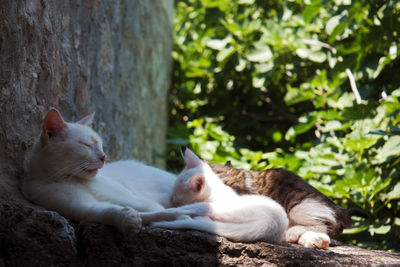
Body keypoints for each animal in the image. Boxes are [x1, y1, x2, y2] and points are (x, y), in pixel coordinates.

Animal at [148, 148, 290, 244]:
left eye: (176, 199)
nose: (171, 200)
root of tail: (268, 223)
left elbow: (173, 210)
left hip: (211, 208)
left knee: (180, 213)